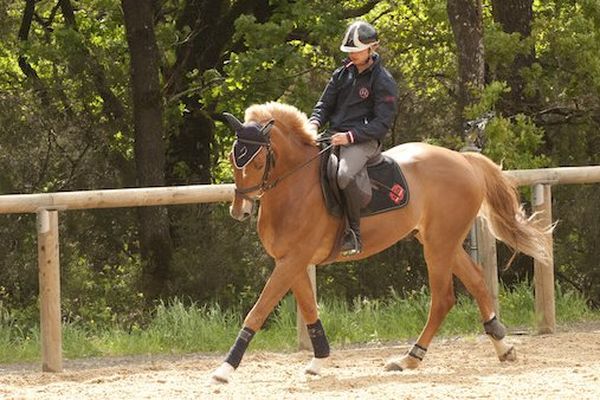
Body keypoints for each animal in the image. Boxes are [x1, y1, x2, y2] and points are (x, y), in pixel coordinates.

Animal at [212, 101, 552, 382]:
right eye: (232, 158)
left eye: (258, 163)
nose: (240, 211)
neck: (295, 186)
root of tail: (465, 160)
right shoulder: (291, 261)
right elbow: (309, 308)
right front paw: (319, 361)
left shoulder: (294, 259)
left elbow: (258, 311)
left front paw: (225, 369)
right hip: (441, 241)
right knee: (478, 283)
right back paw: (502, 348)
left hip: (439, 245)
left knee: (443, 299)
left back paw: (409, 358)